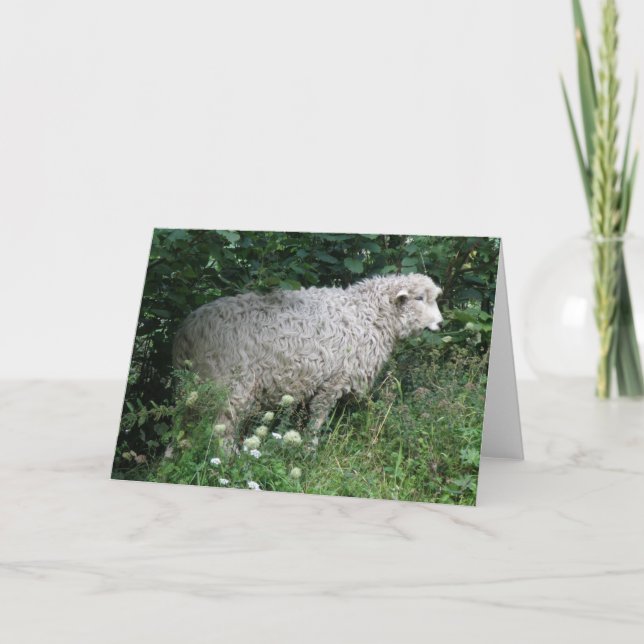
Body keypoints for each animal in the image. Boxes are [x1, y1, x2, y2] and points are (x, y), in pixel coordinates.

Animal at [172, 273, 443, 441]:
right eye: (420, 298)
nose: (441, 323)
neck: (369, 314)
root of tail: (186, 332)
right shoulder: (334, 380)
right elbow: (317, 419)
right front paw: (309, 450)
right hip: (229, 385)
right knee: (222, 428)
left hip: (196, 387)